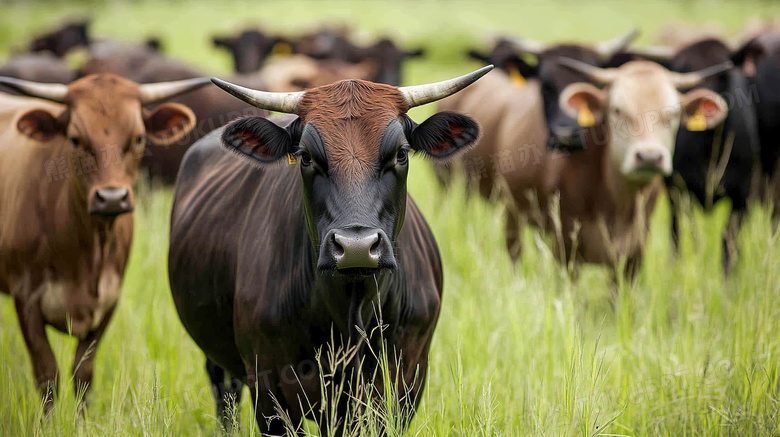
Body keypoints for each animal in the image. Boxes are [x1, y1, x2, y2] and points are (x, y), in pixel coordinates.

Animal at [0, 73, 207, 410]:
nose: (112, 197)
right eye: (75, 139)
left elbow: (83, 374)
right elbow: (47, 376)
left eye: (139, 138)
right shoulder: (26, 299)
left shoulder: (109, 300)